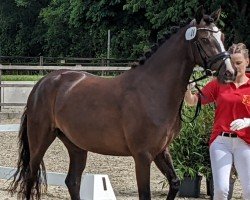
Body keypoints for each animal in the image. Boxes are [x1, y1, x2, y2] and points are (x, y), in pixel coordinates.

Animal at [8, 8, 235, 200]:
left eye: (222, 37)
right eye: (204, 39)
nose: (229, 73)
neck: (152, 89)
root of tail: (44, 82)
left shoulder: (161, 151)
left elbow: (175, 183)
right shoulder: (142, 156)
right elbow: (145, 194)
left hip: (76, 146)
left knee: (72, 181)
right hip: (40, 140)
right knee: (30, 178)